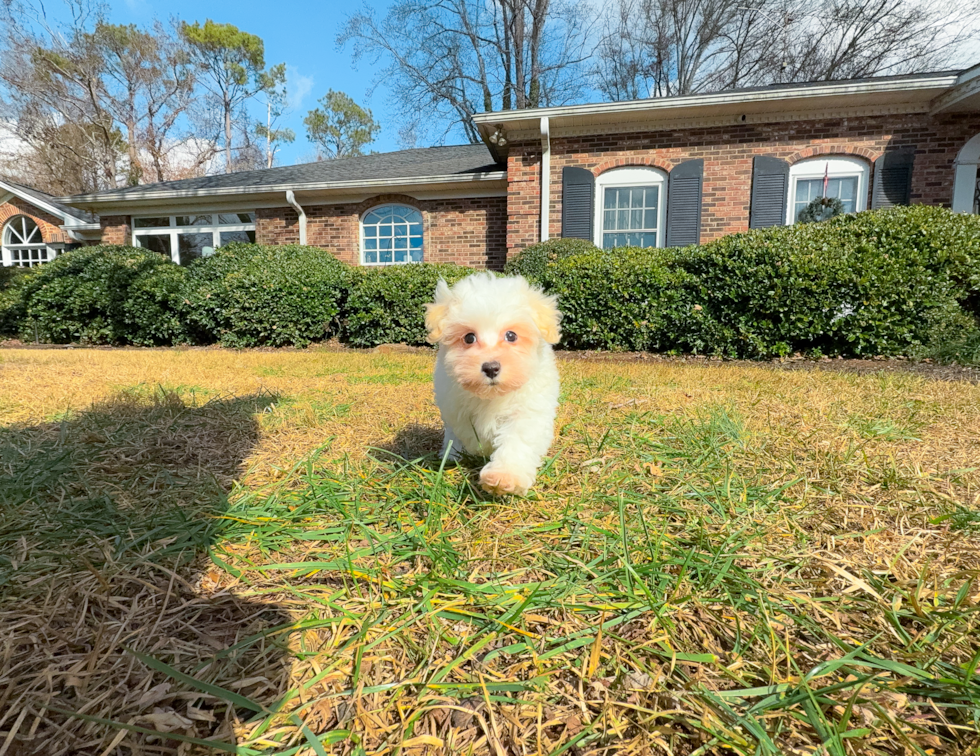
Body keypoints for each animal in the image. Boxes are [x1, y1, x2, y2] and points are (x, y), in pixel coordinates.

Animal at [424, 272, 564, 496]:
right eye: (469, 337)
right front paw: (463, 452)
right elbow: (463, 431)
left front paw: (504, 477)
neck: (493, 396)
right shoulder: (454, 407)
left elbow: (517, 440)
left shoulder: (528, 410)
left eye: (511, 335)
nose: (490, 368)